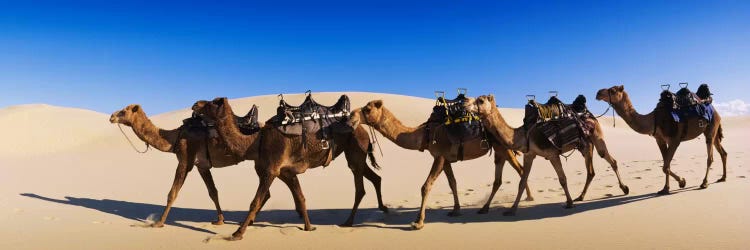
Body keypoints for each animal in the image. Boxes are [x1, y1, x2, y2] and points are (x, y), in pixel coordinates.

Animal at [107, 103, 258, 227]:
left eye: (123, 111)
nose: (111, 117)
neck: (174, 137)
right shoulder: (202, 166)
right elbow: (213, 192)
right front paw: (220, 220)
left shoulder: (184, 162)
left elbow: (172, 193)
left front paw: (159, 222)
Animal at [191, 97, 388, 240]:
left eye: (212, 103)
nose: (195, 105)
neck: (256, 141)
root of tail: (363, 129)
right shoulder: (285, 172)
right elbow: (300, 197)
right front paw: (309, 226)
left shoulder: (271, 170)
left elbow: (255, 200)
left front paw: (237, 233)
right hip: (357, 155)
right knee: (375, 177)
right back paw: (383, 208)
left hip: (355, 151)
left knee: (360, 188)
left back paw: (348, 221)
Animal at [350, 100, 536, 230]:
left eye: (367, 109)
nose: (351, 116)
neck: (424, 134)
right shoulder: (445, 159)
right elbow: (452, 182)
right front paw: (456, 210)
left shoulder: (439, 156)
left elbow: (426, 186)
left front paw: (418, 222)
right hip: (499, 149)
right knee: (500, 178)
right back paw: (486, 208)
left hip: (504, 147)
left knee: (520, 170)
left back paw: (527, 199)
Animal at [468, 94, 632, 216]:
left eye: (480, 100)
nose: (465, 104)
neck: (523, 134)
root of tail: (589, 113)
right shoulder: (529, 154)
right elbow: (522, 181)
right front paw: (512, 210)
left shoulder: (552, 154)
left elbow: (562, 179)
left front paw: (569, 203)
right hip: (585, 145)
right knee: (591, 171)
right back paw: (581, 196)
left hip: (597, 135)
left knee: (609, 159)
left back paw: (624, 189)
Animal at [596, 86, 724, 193]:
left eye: (613, 90)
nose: (598, 93)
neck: (654, 120)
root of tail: (715, 110)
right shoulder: (660, 140)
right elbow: (666, 165)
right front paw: (666, 188)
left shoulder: (674, 140)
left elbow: (665, 166)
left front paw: (681, 182)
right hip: (712, 131)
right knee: (723, 152)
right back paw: (723, 177)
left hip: (711, 128)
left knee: (710, 157)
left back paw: (704, 183)